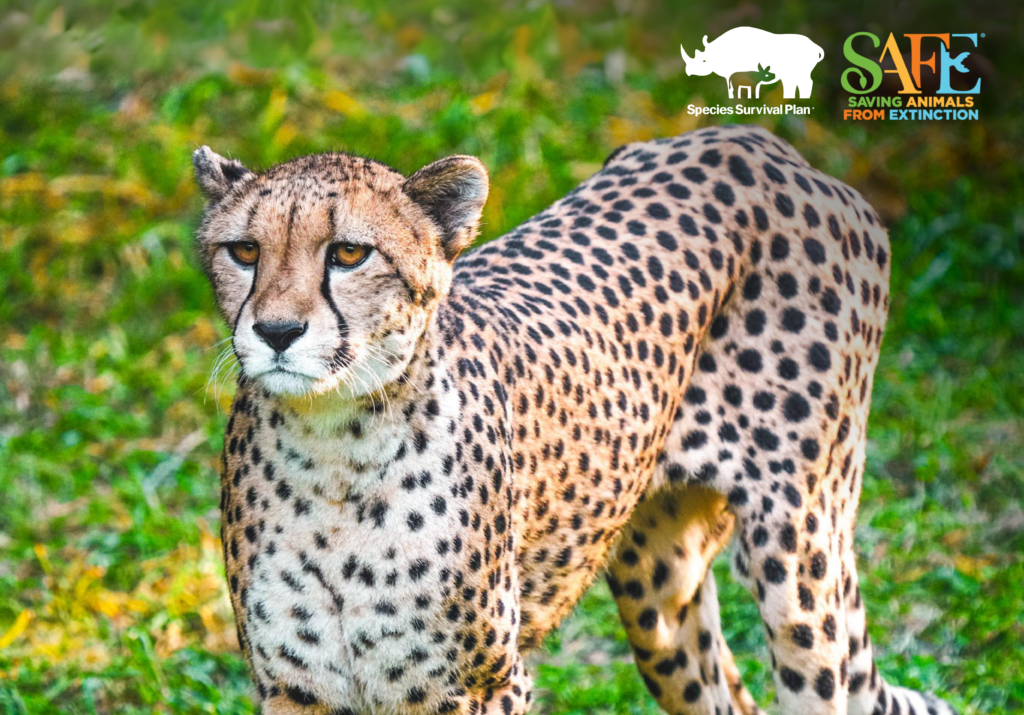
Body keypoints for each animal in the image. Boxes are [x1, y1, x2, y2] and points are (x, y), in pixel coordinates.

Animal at [193, 124, 957, 715]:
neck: (334, 454)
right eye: (245, 251)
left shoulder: (480, 685)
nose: (277, 331)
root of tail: (761, 143)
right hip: (657, 586)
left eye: (349, 253)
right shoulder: (295, 688)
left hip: (800, 557)